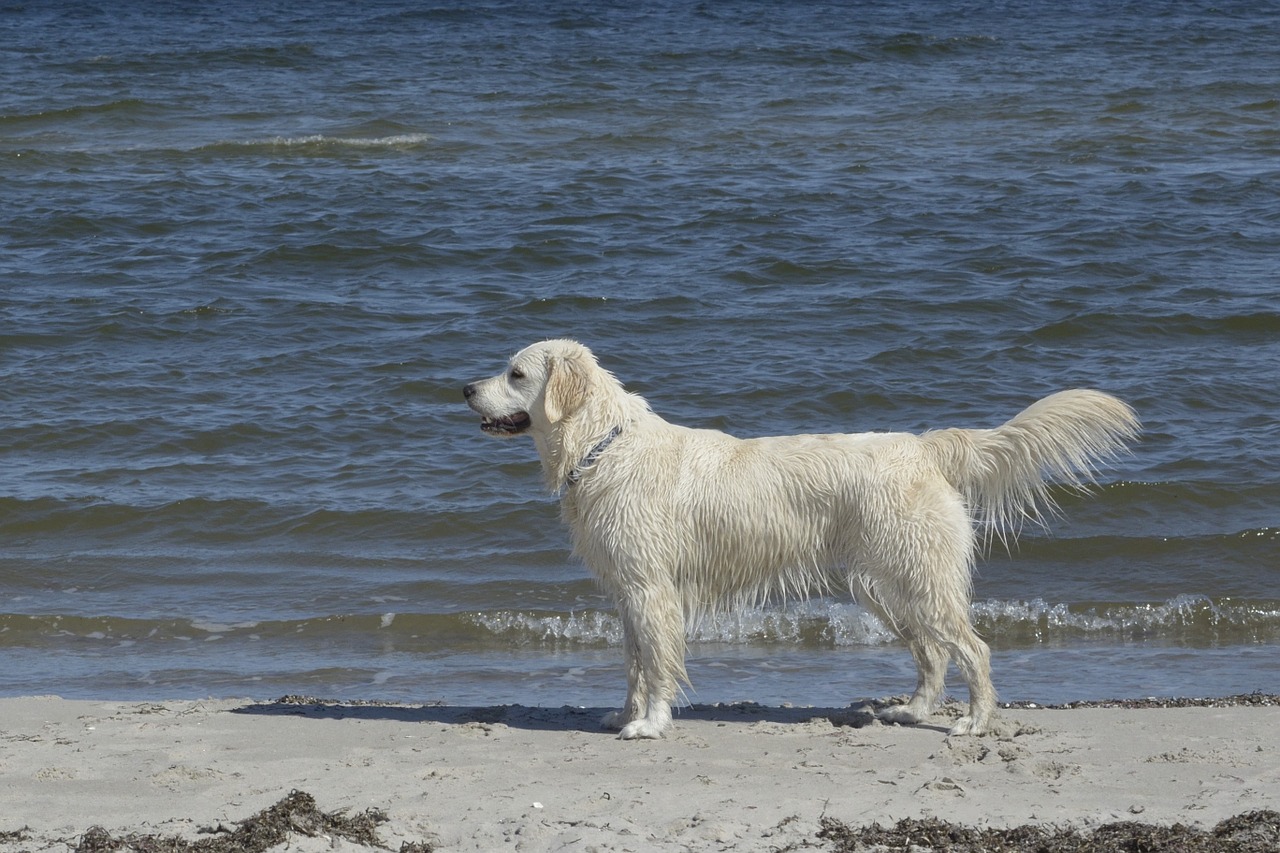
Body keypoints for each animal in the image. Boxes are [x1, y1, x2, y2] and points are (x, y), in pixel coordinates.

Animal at [463, 338, 1141, 737]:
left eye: (515, 373)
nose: (465, 388)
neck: (603, 446)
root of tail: (922, 446)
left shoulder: (652, 591)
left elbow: (656, 666)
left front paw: (650, 725)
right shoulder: (628, 591)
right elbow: (633, 664)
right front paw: (622, 714)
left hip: (917, 579)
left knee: (973, 649)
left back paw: (972, 723)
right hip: (882, 589)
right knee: (934, 653)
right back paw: (912, 711)